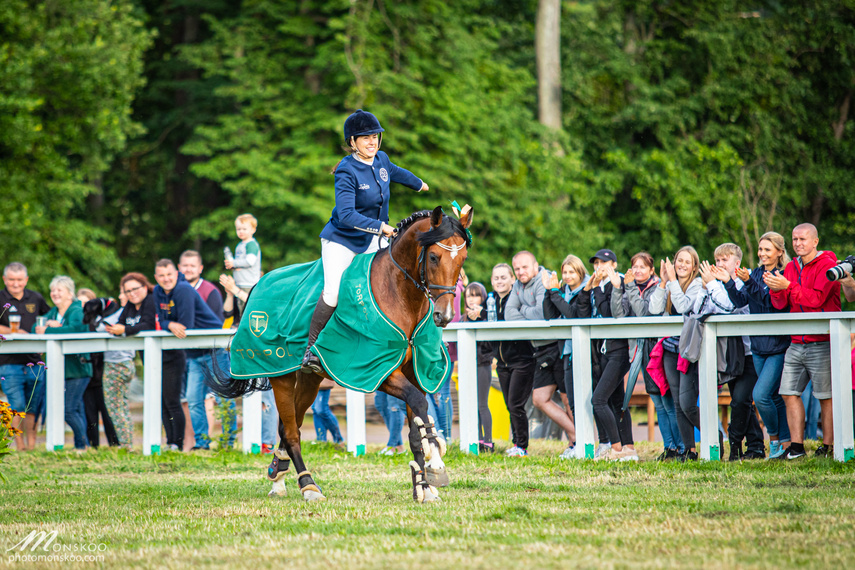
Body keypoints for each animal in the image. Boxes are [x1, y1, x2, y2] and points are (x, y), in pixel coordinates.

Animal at [208, 205, 474, 502]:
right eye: (434, 256)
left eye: (463, 258)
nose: (444, 315)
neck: (400, 295)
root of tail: (260, 282)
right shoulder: (377, 371)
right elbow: (418, 404)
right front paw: (432, 463)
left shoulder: (414, 371)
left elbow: (417, 423)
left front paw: (424, 483)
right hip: (281, 376)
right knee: (291, 431)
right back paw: (308, 485)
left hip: (310, 380)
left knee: (290, 426)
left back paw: (278, 474)